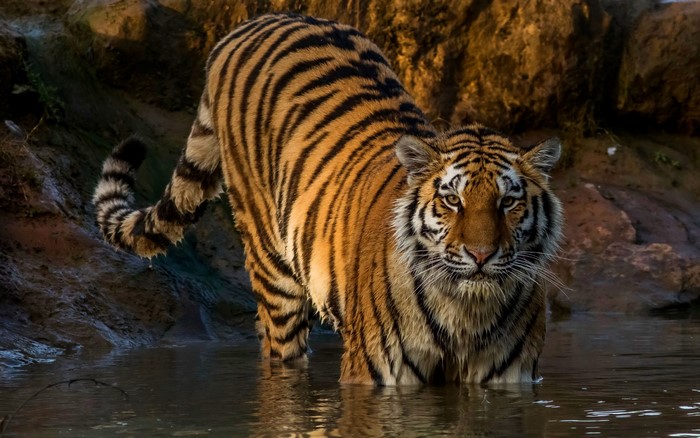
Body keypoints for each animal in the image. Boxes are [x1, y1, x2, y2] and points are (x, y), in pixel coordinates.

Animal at [93, 13, 563, 385]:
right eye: (452, 201)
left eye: (507, 202)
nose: (481, 255)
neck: (466, 312)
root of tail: (251, 23)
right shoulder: (374, 374)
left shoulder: (510, 378)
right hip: (272, 266)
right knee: (279, 347)